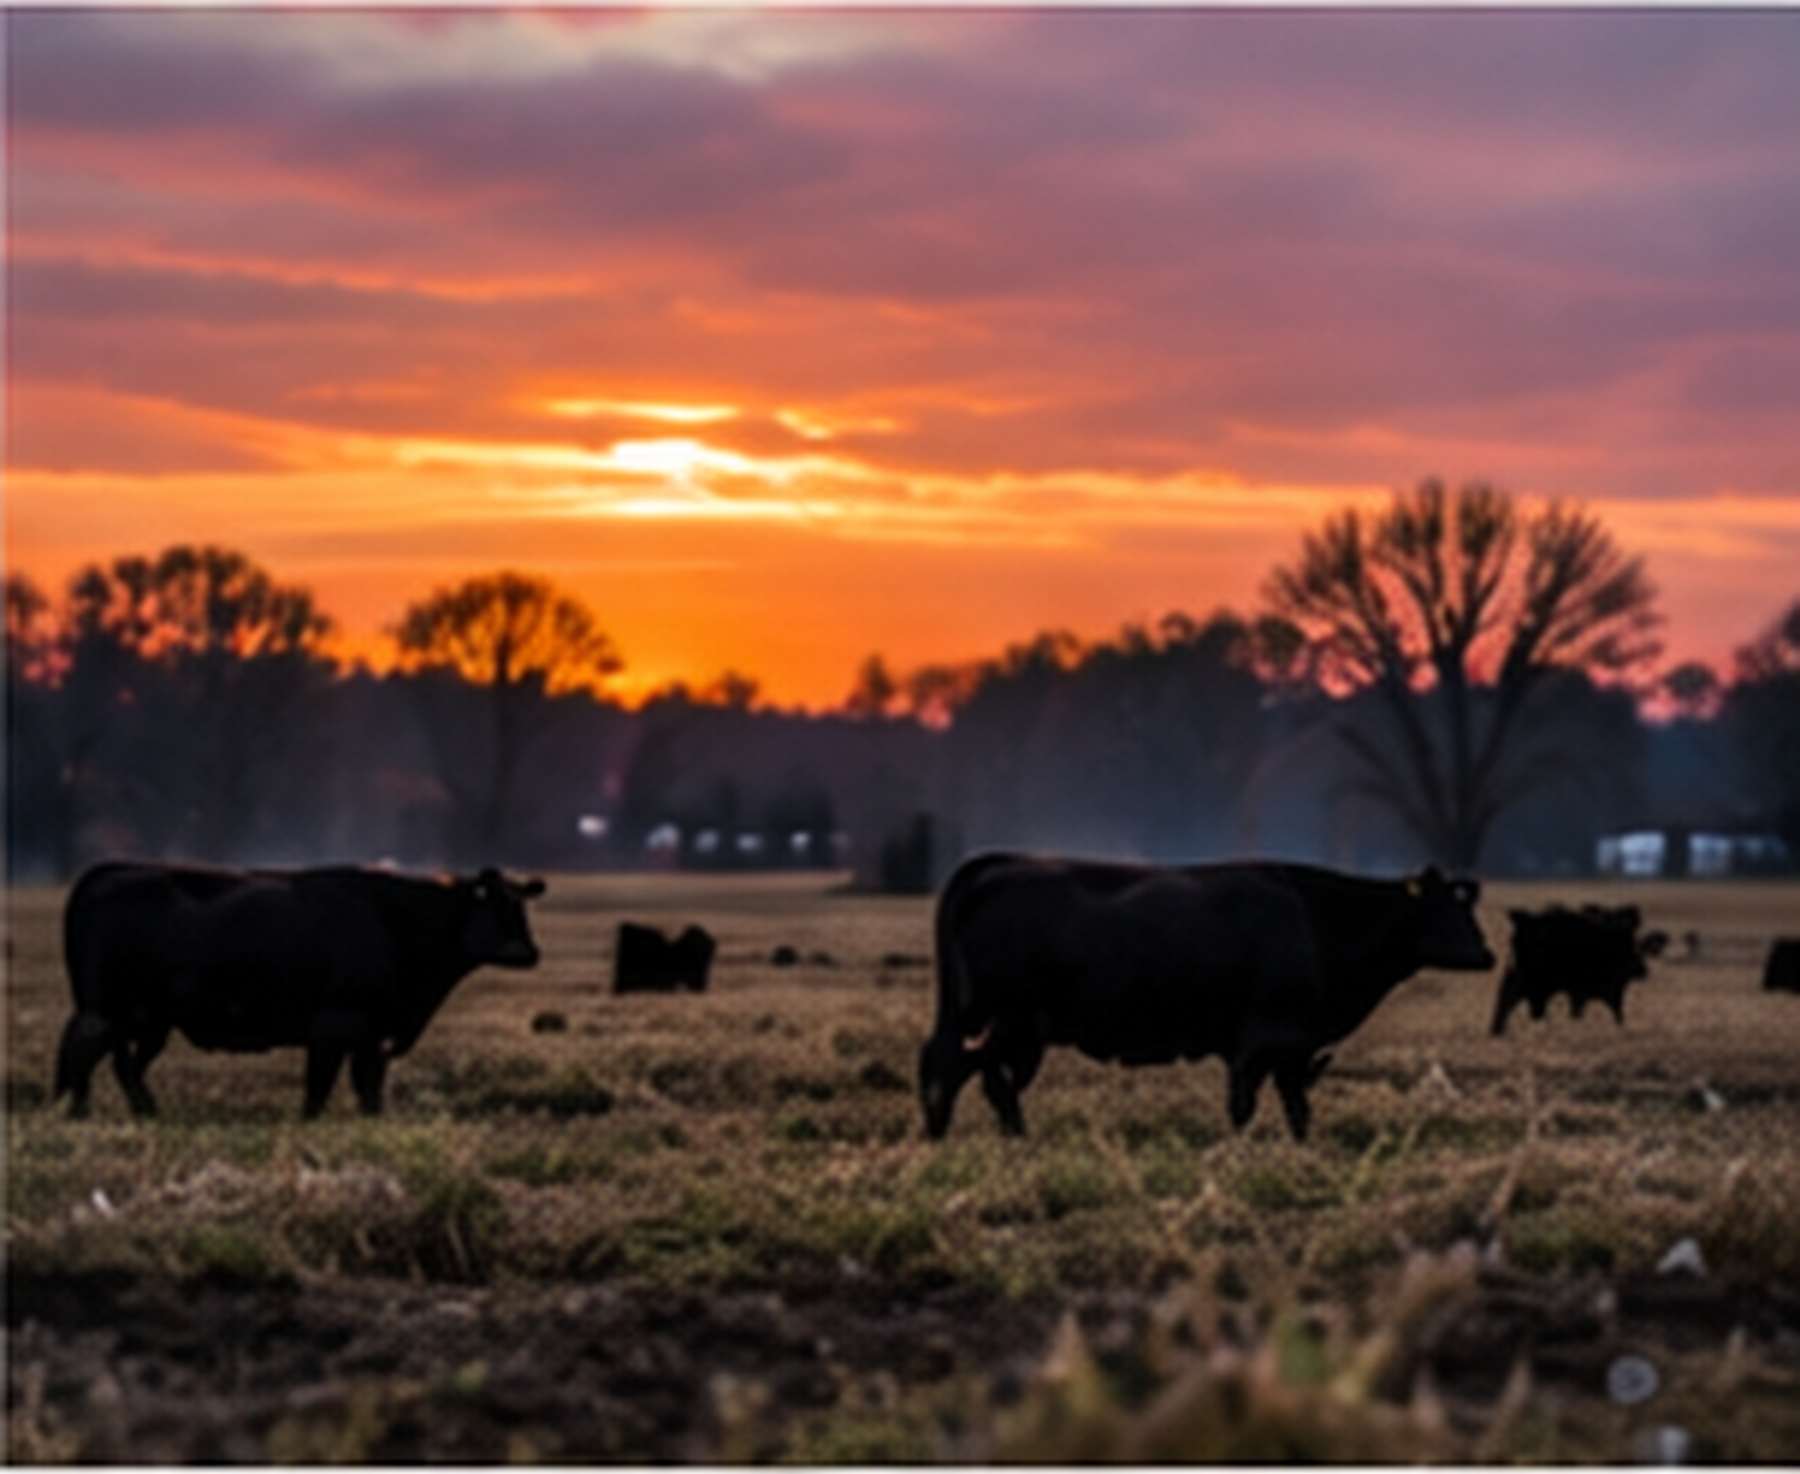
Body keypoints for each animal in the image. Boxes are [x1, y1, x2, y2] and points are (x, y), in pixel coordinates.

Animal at [54, 861, 546, 1119]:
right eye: (493, 904)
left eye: (522, 908)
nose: (527, 951)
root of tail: (112, 871)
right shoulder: (337, 1022)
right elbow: (321, 1082)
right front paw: (312, 1119)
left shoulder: (372, 1032)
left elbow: (367, 1081)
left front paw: (374, 1118)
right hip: (107, 1010)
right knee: (84, 1051)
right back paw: (82, 1112)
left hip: (149, 1020)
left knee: (123, 1064)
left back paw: (145, 1111)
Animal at [919, 853, 1494, 1144]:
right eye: (1445, 907)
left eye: (1467, 906)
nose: (1487, 954)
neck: (1318, 918)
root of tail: (994, 868)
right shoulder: (1267, 1038)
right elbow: (1249, 1104)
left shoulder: (1286, 1047)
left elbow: (1294, 1105)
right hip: (1006, 1019)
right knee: (953, 1067)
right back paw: (946, 1133)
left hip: (999, 1023)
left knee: (976, 1074)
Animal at [1489, 904, 1667, 1037]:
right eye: (1628, 947)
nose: (1643, 970)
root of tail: (1522, 920)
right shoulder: (1580, 992)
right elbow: (1582, 1012)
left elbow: (1615, 1013)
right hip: (1528, 982)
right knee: (1507, 1002)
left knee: (1504, 1003)